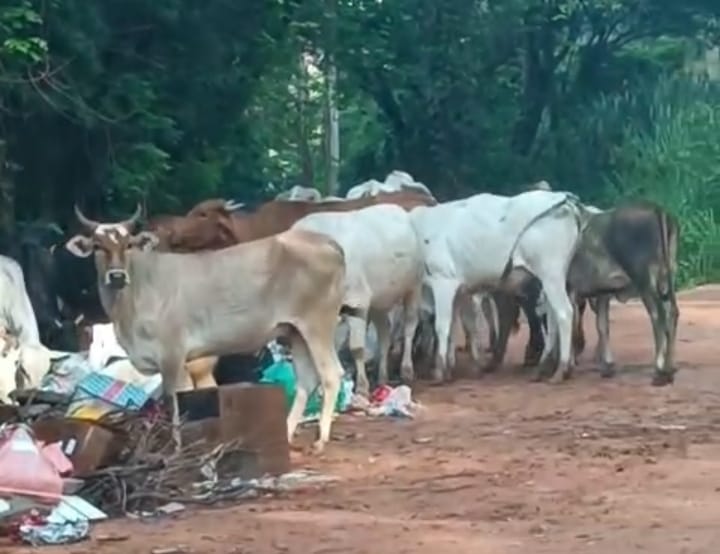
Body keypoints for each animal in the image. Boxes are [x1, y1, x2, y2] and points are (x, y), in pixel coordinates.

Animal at [66, 204, 354, 452]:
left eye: (128, 245)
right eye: (97, 246)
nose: (116, 276)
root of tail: (327, 242)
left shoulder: (172, 356)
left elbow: (174, 401)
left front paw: (177, 447)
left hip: (318, 324)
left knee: (332, 374)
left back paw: (321, 438)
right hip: (295, 331)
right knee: (306, 380)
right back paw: (285, 431)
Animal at [292, 204, 423, 397]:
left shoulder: (357, 302)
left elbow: (356, 348)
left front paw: (361, 386)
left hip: (413, 287)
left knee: (409, 326)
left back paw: (406, 369)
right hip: (378, 301)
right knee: (384, 333)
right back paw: (382, 376)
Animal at [410, 190, 589, 384]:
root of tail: (562, 199)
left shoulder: (443, 280)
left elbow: (442, 325)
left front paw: (440, 370)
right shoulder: (459, 291)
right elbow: (455, 325)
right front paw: (450, 366)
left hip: (551, 274)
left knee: (564, 313)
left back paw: (561, 369)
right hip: (553, 278)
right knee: (552, 316)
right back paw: (544, 367)